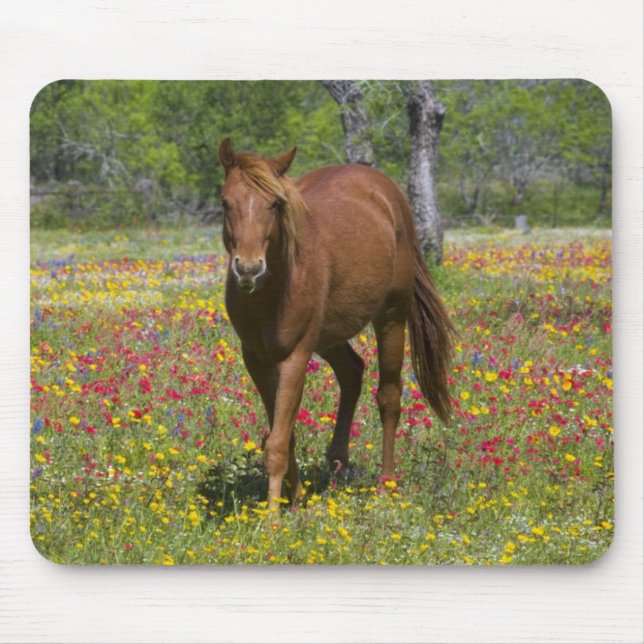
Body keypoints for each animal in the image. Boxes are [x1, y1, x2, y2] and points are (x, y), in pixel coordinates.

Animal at [218, 138, 454, 513]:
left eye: (275, 203)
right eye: (225, 202)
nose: (249, 268)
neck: (273, 289)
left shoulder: (294, 358)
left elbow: (277, 444)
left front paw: (272, 518)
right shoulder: (256, 359)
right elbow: (284, 434)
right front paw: (295, 497)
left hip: (391, 317)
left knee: (389, 397)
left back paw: (386, 485)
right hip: (329, 336)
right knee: (352, 371)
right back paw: (337, 460)